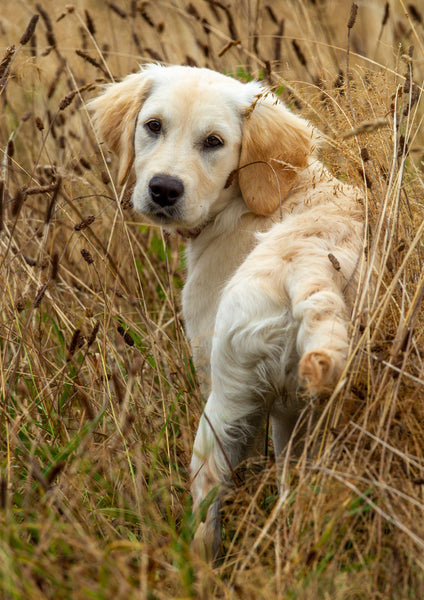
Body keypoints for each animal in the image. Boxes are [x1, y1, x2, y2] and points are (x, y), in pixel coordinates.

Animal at [88, 63, 364, 560]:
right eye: (153, 126)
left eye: (214, 142)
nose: (163, 189)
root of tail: (311, 262)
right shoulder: (285, 412)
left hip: (225, 402)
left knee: (209, 496)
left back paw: (198, 562)